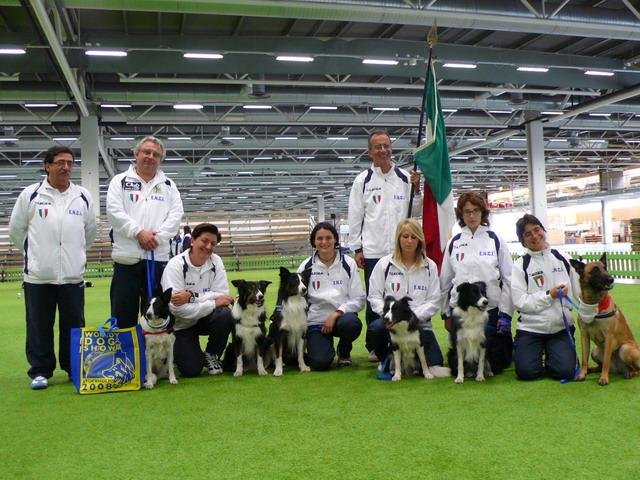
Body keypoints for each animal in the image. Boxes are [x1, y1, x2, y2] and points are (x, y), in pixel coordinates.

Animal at [568, 253, 640, 384]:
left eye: (605, 268)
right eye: (595, 270)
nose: (611, 279)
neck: (594, 303)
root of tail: (618, 369)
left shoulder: (609, 337)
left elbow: (606, 360)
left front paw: (604, 378)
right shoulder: (584, 335)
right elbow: (584, 359)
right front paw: (582, 374)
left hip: (625, 349)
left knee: (637, 370)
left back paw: (630, 373)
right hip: (595, 351)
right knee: (599, 366)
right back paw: (591, 370)